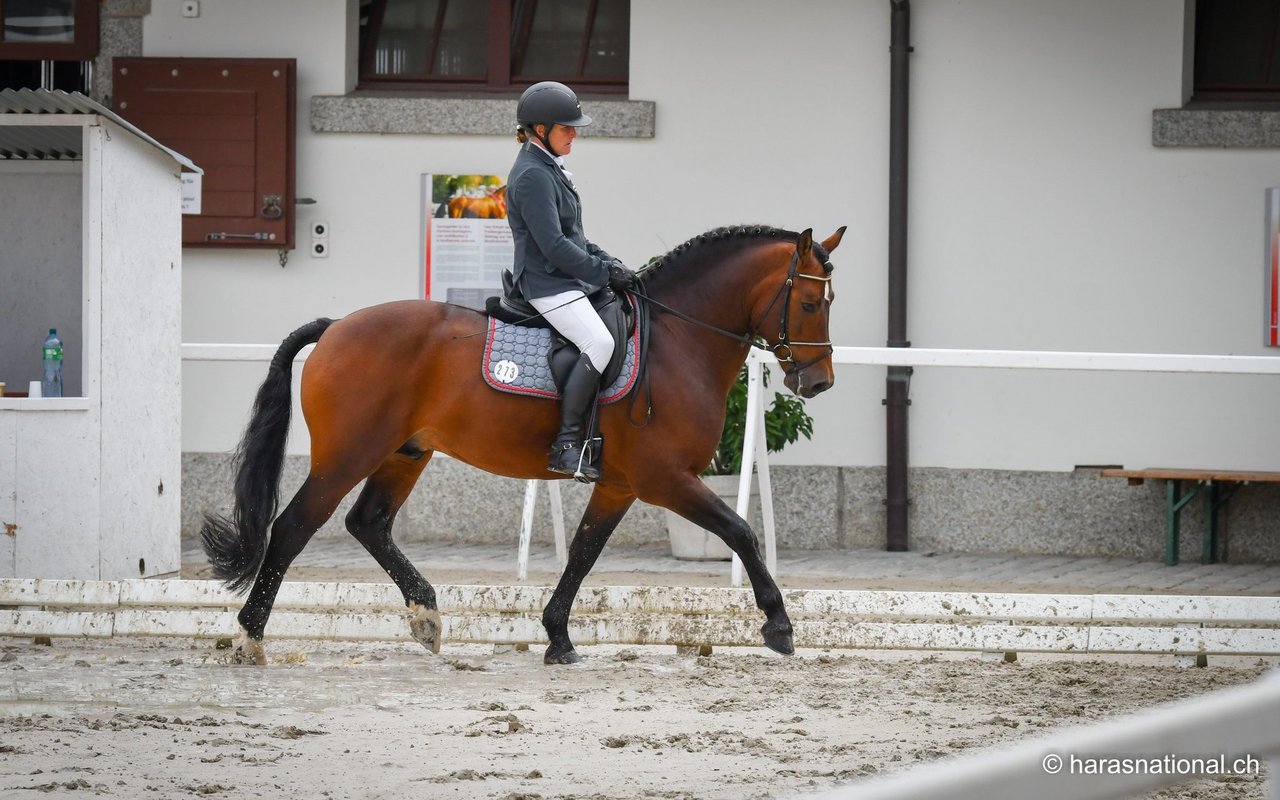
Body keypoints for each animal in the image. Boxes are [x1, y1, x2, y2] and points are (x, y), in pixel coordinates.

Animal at [202, 222, 839, 660]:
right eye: (810, 303)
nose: (818, 382)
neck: (678, 341)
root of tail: (335, 327)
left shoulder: (620, 484)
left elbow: (583, 551)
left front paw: (558, 636)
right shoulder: (666, 479)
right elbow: (739, 531)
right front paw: (779, 627)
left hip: (404, 453)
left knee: (369, 523)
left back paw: (425, 615)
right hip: (347, 455)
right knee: (292, 528)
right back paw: (250, 637)